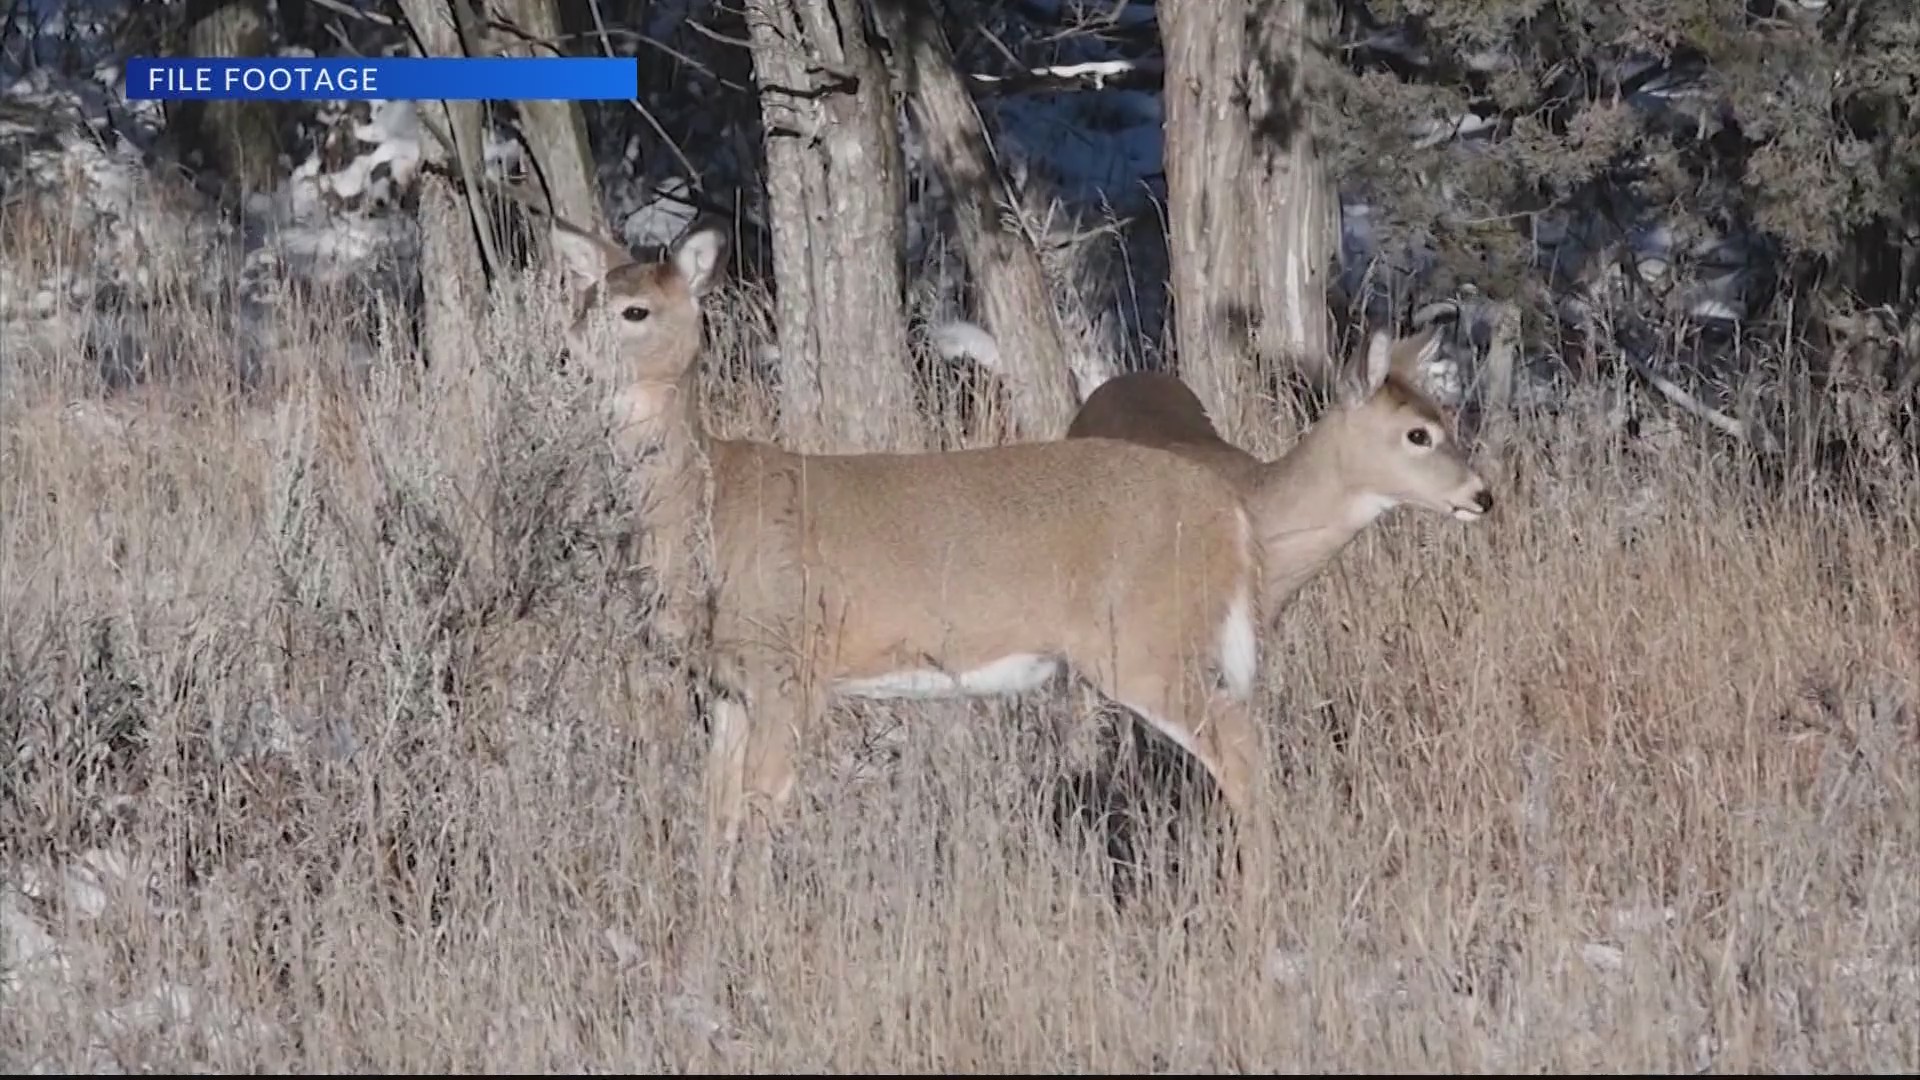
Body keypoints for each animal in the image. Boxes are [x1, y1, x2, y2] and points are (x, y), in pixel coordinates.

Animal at [547, 218, 1270, 886]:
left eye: (635, 311)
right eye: (582, 301)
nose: (564, 353)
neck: (710, 505)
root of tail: (1227, 514)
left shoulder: (791, 664)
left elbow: (759, 814)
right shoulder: (728, 683)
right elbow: (715, 816)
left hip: (1146, 638)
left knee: (1242, 751)